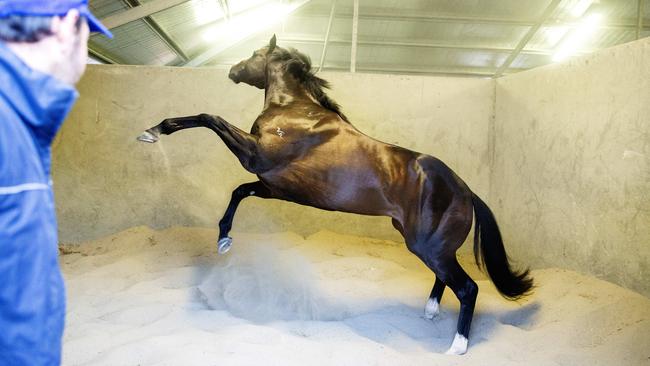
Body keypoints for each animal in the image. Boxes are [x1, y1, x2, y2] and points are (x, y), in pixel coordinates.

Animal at [138, 34, 532, 354]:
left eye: (254, 54)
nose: (233, 71)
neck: (295, 112)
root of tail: (466, 190)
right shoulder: (273, 186)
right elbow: (238, 192)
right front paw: (223, 239)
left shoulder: (256, 157)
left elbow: (210, 117)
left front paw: (154, 131)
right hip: (425, 244)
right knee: (446, 278)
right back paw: (430, 312)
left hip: (428, 246)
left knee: (468, 288)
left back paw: (457, 347)